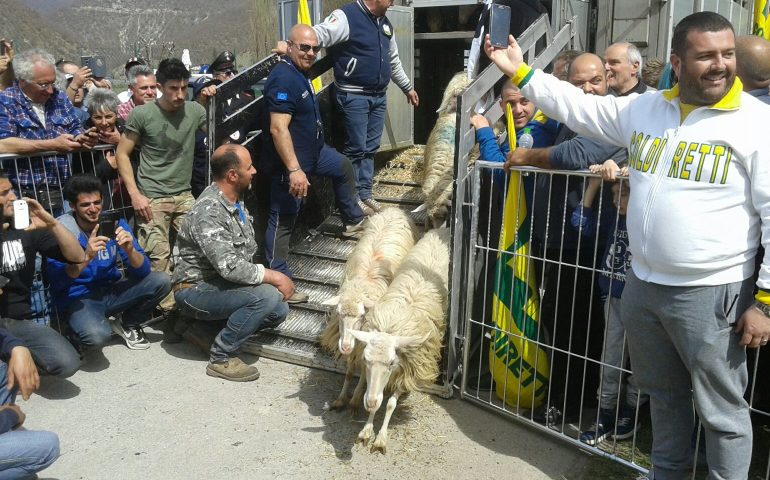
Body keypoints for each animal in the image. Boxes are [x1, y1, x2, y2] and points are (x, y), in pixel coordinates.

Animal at [316, 210, 416, 412]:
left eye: (362, 315)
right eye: (339, 313)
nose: (345, 346)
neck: (364, 282)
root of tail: (394, 210)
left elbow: (364, 371)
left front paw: (354, 399)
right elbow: (349, 371)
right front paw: (341, 399)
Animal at [344, 227, 448, 452]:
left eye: (392, 362)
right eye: (365, 360)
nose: (370, 402)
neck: (392, 322)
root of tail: (444, 229)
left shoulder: (409, 367)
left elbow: (390, 403)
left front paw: (380, 438)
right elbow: (374, 397)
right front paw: (366, 430)